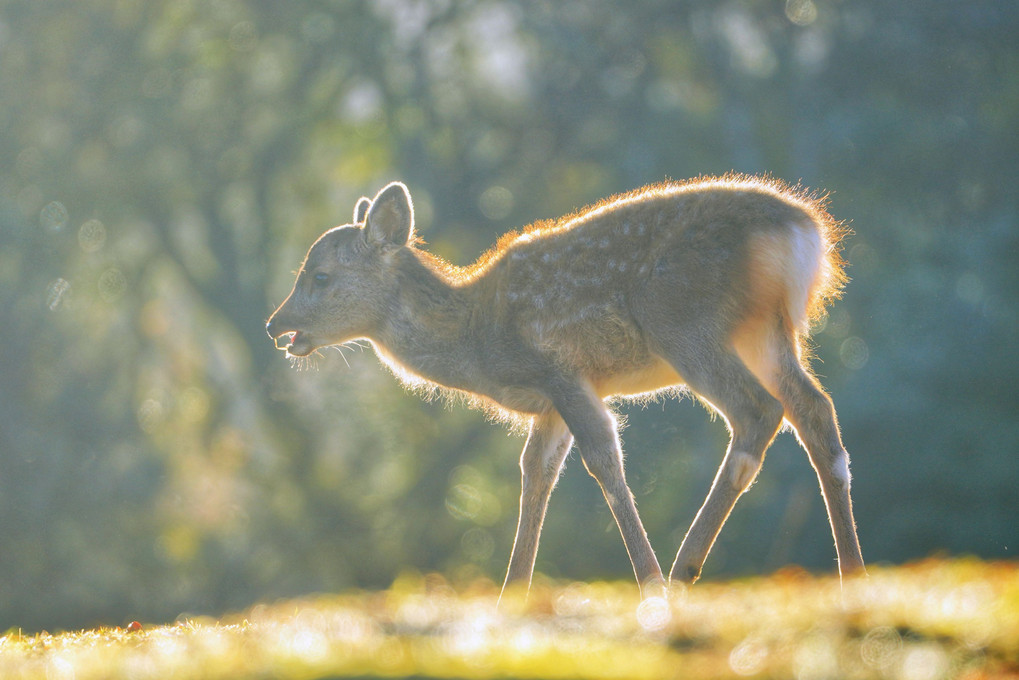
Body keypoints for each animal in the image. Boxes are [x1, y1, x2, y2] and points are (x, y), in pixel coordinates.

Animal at [266, 174, 864, 599]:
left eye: (320, 276)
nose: (276, 326)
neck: (478, 338)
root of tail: (804, 230)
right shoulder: (549, 403)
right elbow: (536, 475)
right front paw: (510, 599)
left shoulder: (563, 371)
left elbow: (603, 460)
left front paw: (648, 587)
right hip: (769, 334)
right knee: (815, 410)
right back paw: (852, 576)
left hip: (686, 323)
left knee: (758, 410)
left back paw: (682, 570)